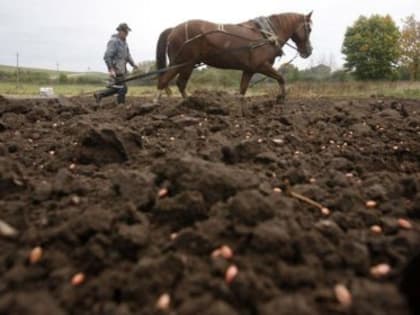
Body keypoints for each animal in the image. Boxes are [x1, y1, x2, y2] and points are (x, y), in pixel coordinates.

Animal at [154, 12, 312, 102]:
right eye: (309, 29)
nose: (309, 51)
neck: (265, 34)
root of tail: (173, 29)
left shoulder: (249, 70)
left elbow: (242, 90)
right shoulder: (262, 66)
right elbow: (281, 78)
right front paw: (281, 97)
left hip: (185, 64)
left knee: (175, 83)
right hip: (184, 63)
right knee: (168, 82)